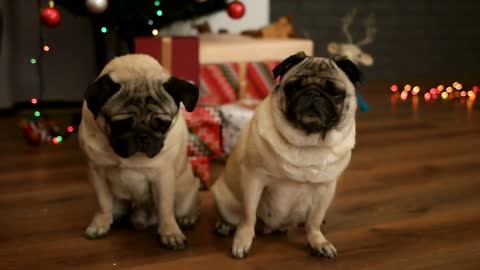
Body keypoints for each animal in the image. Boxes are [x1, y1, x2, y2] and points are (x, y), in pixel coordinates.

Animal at [79, 53, 200, 250]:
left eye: (163, 124)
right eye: (121, 125)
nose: (143, 136)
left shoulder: (163, 177)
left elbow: (165, 209)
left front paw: (170, 233)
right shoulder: (97, 173)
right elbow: (103, 204)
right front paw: (99, 225)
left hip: (186, 194)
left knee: (190, 205)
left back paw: (187, 218)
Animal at [211, 51, 360, 258]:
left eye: (335, 92)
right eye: (293, 87)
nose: (312, 93)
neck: (308, 142)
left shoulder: (326, 188)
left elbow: (314, 220)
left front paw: (317, 241)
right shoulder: (253, 179)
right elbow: (248, 215)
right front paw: (242, 241)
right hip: (224, 199)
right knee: (234, 216)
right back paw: (224, 226)